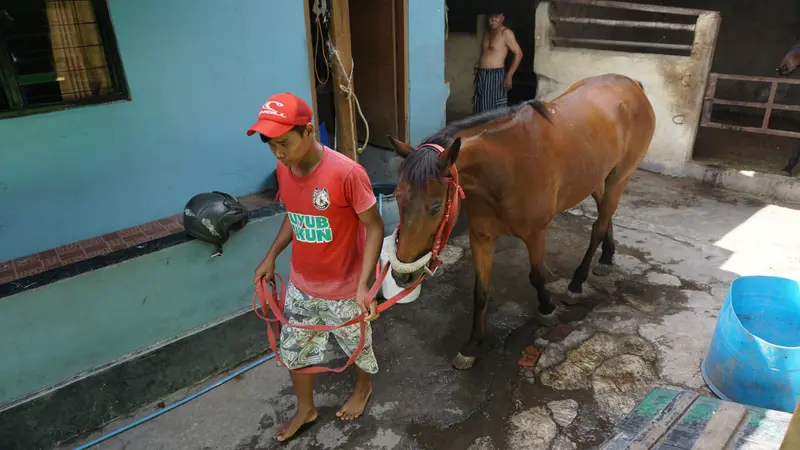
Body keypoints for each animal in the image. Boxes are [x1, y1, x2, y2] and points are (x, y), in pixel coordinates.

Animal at [388, 73, 656, 370]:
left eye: (436, 207)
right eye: (397, 198)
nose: (402, 275)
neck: (504, 167)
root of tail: (632, 84)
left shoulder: (536, 233)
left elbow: (537, 276)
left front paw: (547, 309)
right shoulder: (481, 237)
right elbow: (480, 291)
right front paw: (473, 345)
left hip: (619, 178)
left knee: (598, 226)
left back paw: (576, 284)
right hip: (596, 177)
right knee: (605, 217)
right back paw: (607, 257)